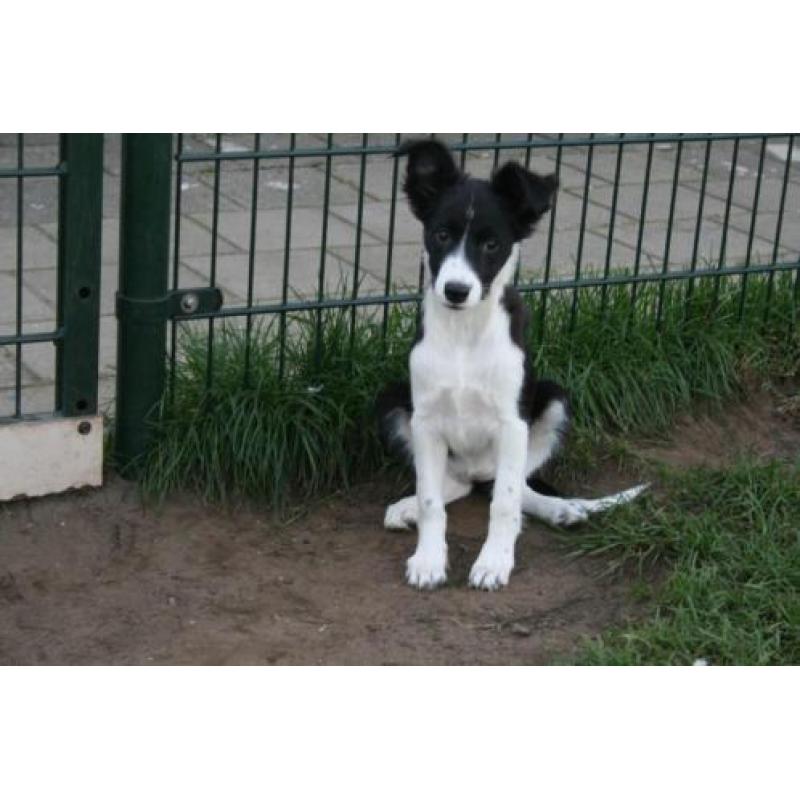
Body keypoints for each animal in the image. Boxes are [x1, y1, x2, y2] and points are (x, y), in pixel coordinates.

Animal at [378, 138, 648, 592]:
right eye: (441, 234)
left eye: (491, 245)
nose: (456, 290)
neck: (465, 331)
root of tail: (477, 471)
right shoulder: (425, 420)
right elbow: (433, 500)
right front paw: (429, 559)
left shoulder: (512, 422)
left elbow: (504, 504)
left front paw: (494, 563)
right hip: (393, 401)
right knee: (455, 484)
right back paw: (408, 506)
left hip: (553, 400)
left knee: (513, 486)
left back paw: (560, 509)